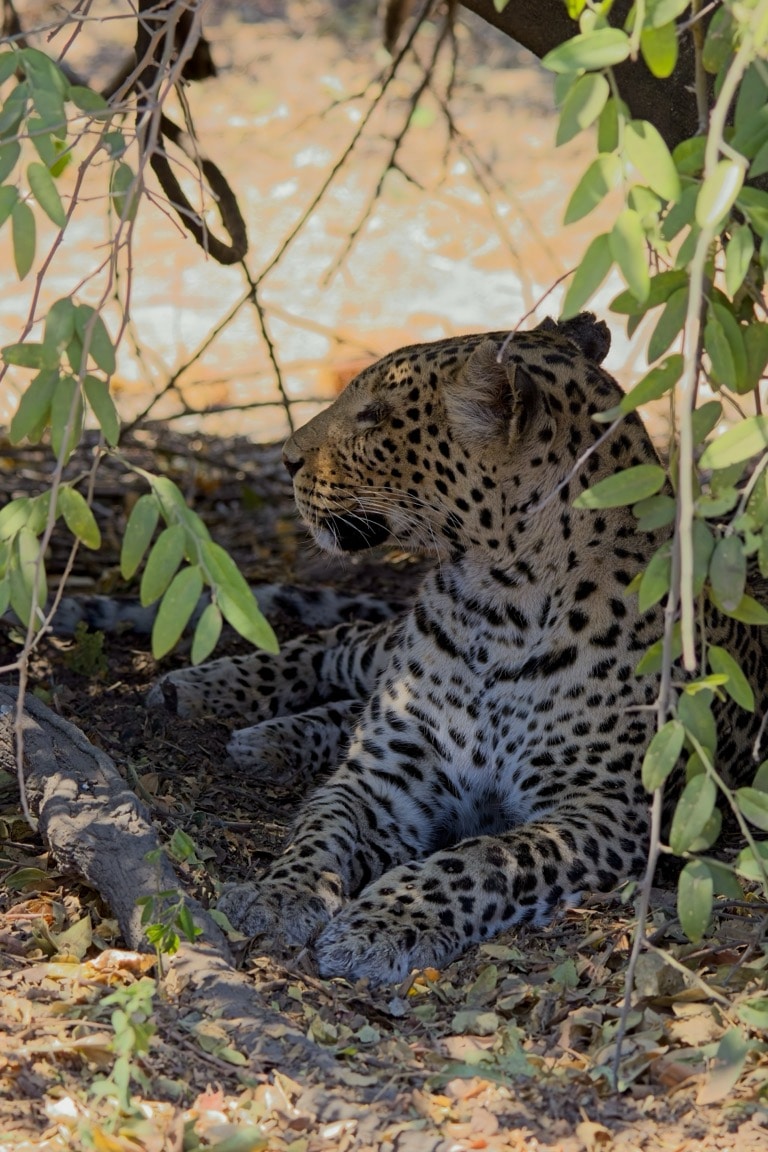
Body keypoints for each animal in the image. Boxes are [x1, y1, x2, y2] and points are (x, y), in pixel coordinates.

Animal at [148, 312, 768, 987]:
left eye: (374, 416)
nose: (285, 460)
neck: (496, 607)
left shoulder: (603, 808)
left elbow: (483, 859)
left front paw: (380, 925)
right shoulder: (382, 778)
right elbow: (320, 830)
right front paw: (277, 893)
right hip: (381, 655)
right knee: (336, 648)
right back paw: (199, 694)